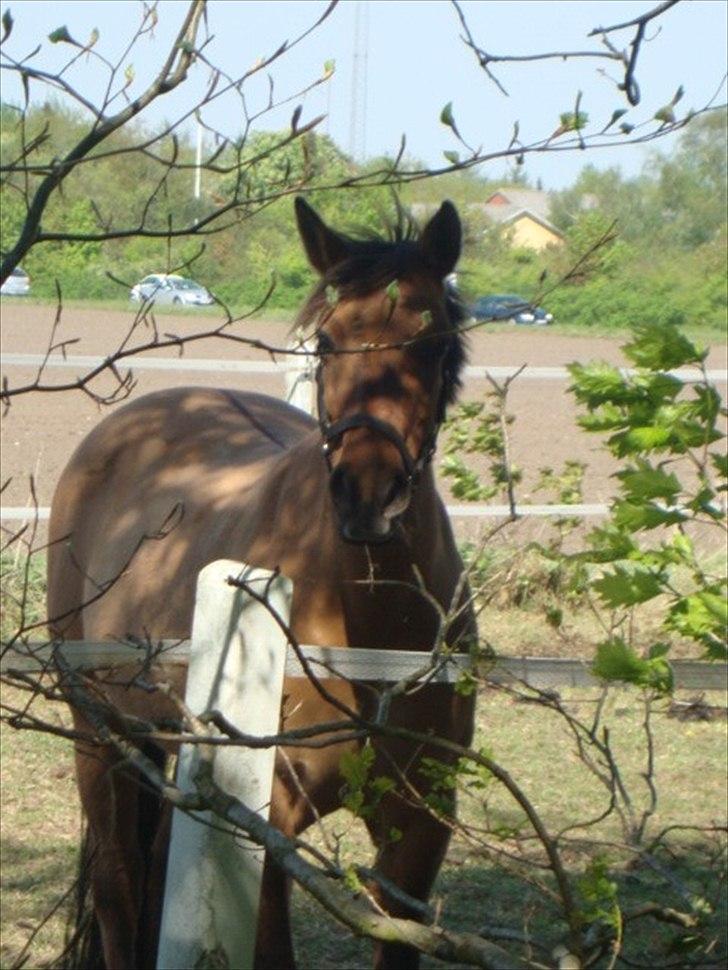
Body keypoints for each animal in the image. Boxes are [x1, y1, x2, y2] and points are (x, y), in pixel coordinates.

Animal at [47, 197, 477, 970]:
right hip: (99, 737)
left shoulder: (419, 834)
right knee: (120, 891)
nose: (368, 495)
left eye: (431, 343)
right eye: (327, 342)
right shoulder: (268, 827)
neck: (370, 638)